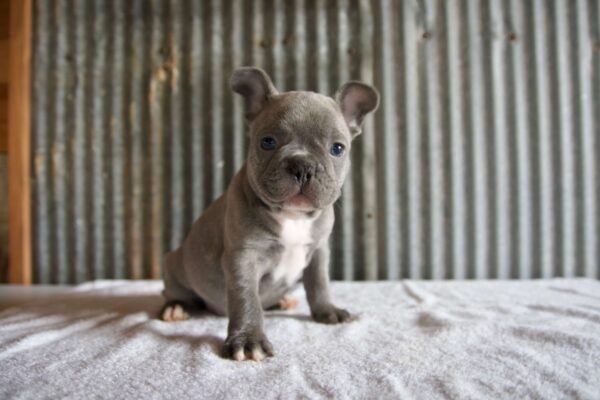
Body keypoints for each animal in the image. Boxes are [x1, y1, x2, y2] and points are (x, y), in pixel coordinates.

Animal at [162, 67, 380, 360]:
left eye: (337, 148)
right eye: (267, 142)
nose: (303, 165)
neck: (293, 216)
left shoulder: (319, 251)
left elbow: (319, 283)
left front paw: (327, 311)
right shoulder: (244, 257)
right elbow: (247, 299)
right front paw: (248, 339)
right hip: (174, 266)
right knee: (175, 291)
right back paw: (176, 306)